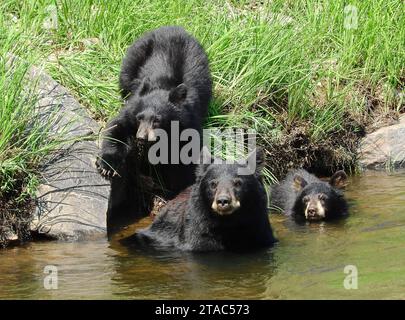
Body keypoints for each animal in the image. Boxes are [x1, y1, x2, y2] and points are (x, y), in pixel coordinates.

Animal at [96, 26, 211, 234]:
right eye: (140, 117)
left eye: (157, 120)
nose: (141, 137)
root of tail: (173, 27)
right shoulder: (132, 109)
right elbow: (118, 128)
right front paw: (107, 166)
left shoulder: (188, 124)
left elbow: (185, 155)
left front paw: (179, 188)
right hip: (135, 56)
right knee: (124, 78)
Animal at [125, 149, 278, 251]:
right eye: (213, 183)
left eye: (238, 183)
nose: (223, 201)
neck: (228, 222)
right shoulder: (197, 230)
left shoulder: (258, 226)